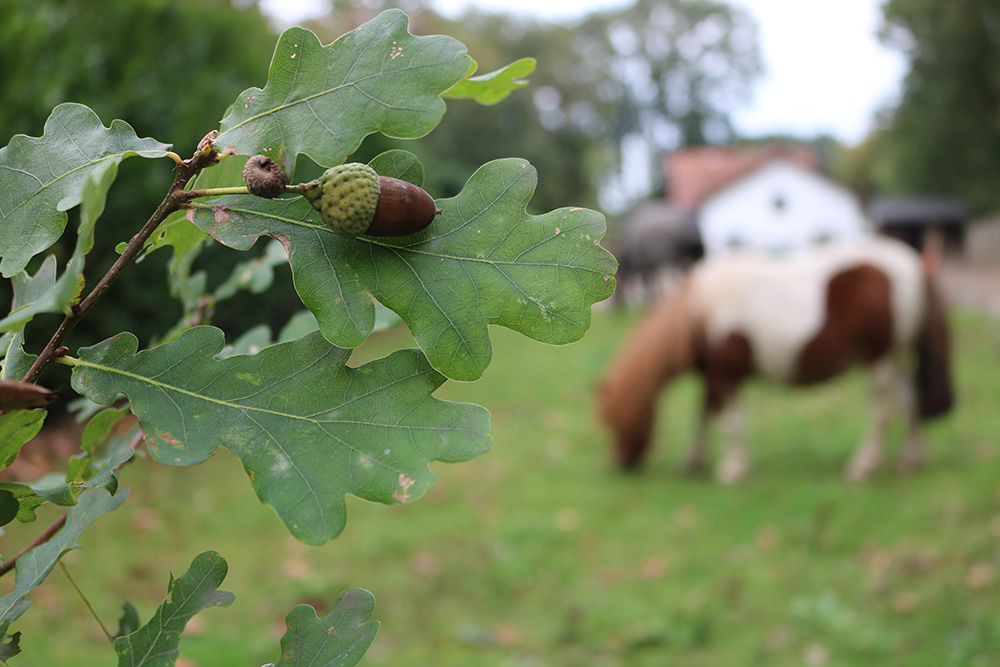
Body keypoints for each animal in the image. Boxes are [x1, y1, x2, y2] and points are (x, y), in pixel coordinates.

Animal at [596, 237, 956, 482]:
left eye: (616, 419)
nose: (620, 463)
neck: (697, 310)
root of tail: (914, 265)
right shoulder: (713, 375)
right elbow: (705, 416)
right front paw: (694, 461)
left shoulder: (726, 375)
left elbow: (730, 420)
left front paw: (733, 469)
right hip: (893, 358)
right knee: (910, 400)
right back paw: (911, 458)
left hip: (878, 360)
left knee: (883, 410)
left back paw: (863, 465)